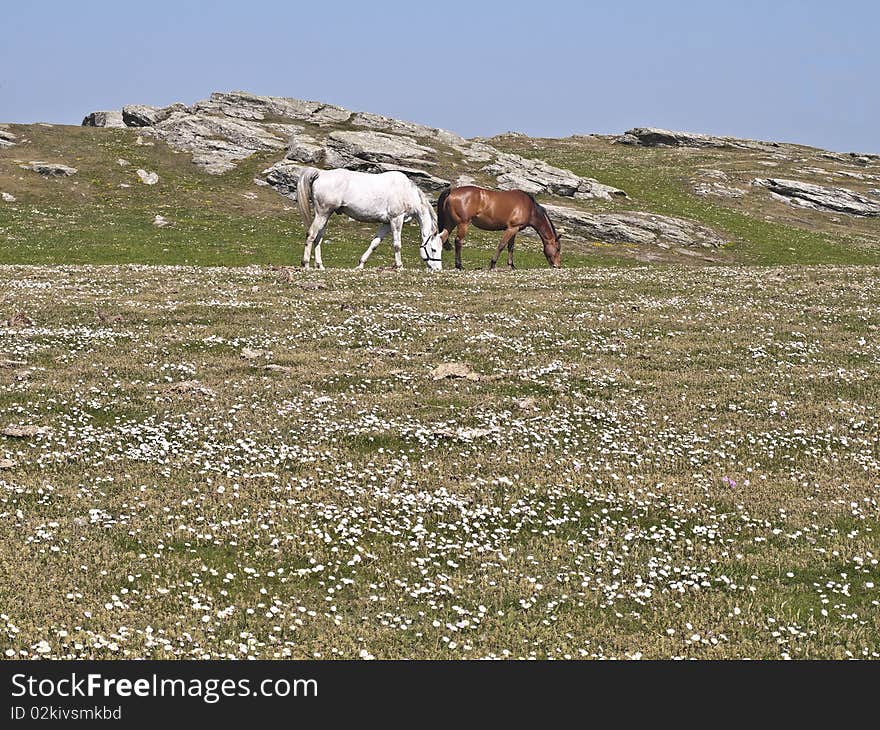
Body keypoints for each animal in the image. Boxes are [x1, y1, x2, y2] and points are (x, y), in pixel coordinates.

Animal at [296, 166, 444, 272]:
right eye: (434, 249)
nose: (438, 269)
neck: (407, 192)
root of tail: (321, 173)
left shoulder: (386, 223)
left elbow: (374, 244)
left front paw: (360, 264)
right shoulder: (396, 219)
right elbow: (397, 244)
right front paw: (399, 266)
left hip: (325, 215)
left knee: (318, 238)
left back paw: (320, 265)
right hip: (322, 214)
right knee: (311, 235)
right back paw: (306, 264)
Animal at [434, 186, 564, 268]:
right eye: (558, 249)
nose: (557, 265)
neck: (530, 208)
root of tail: (452, 191)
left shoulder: (514, 230)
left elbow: (510, 247)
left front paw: (511, 265)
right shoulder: (511, 228)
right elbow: (502, 245)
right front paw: (493, 264)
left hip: (450, 224)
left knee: (442, 238)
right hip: (462, 224)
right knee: (458, 242)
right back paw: (459, 265)